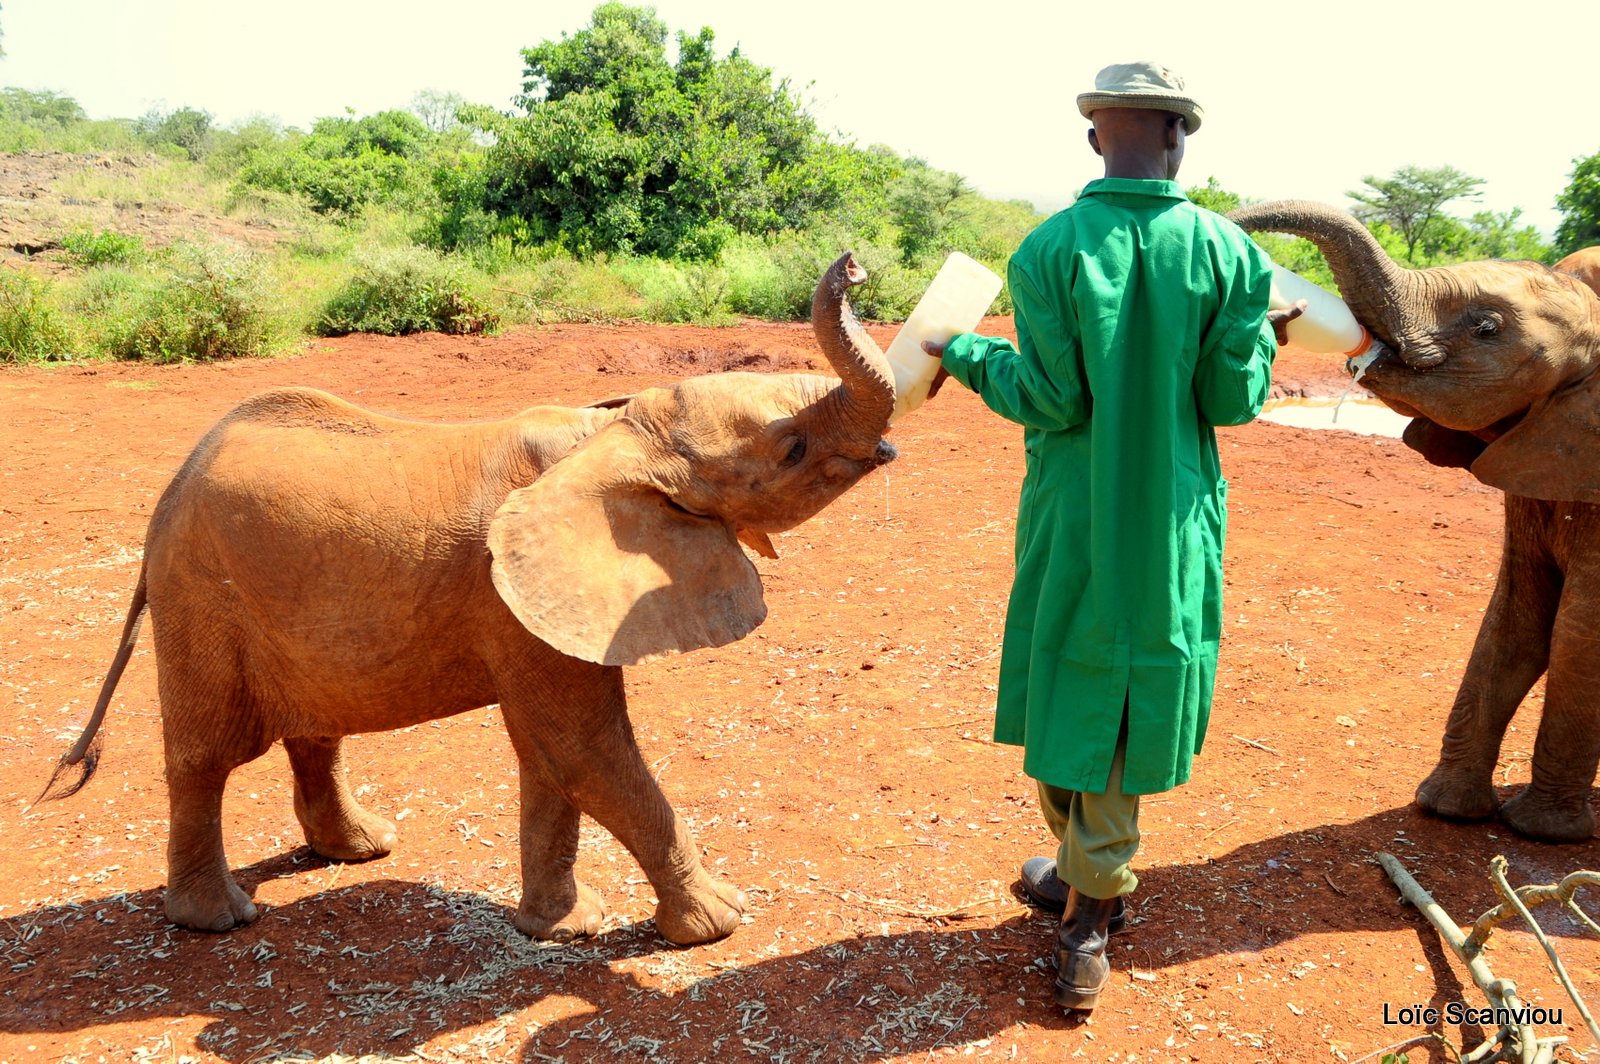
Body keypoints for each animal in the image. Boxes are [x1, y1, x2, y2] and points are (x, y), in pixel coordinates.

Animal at [40, 252, 902, 940]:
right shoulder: (513, 601)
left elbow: (551, 756)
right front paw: (719, 923)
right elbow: (580, 747)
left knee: (316, 733)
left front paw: (563, 929)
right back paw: (218, 919)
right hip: (199, 593)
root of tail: (174, 485)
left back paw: (360, 849)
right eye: (791, 449)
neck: (612, 433)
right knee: (204, 756)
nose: (855, 265)